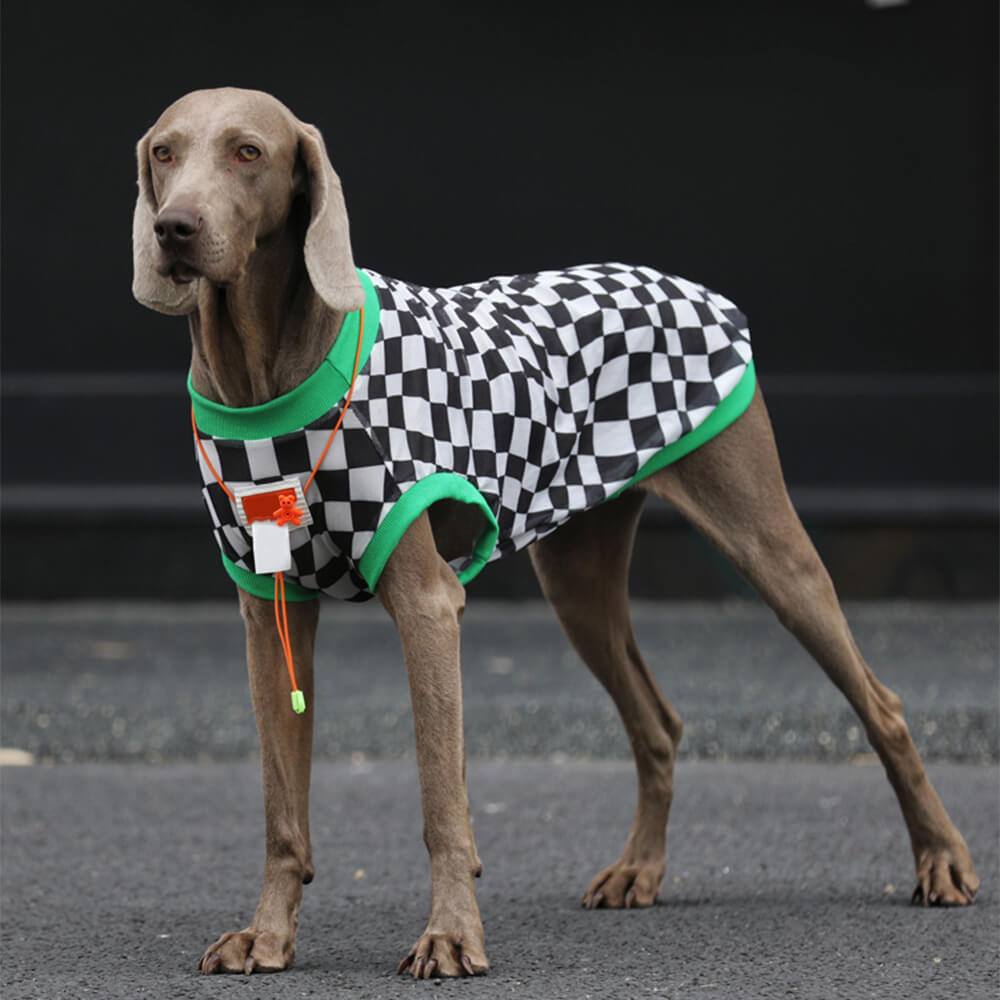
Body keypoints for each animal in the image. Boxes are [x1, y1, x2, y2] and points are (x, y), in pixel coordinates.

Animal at [131, 86, 976, 976]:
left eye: (248, 152)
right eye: (164, 152)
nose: (175, 228)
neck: (265, 379)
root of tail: (691, 287)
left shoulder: (427, 605)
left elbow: (441, 798)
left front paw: (451, 935)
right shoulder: (270, 617)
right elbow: (281, 809)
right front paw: (268, 936)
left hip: (767, 544)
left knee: (880, 703)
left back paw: (941, 860)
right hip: (576, 579)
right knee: (658, 724)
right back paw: (639, 871)